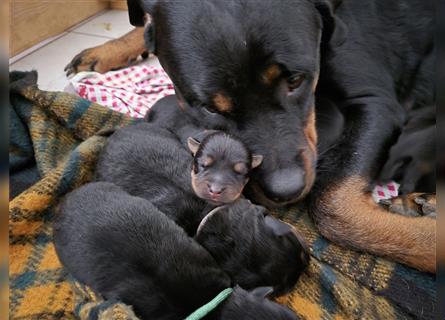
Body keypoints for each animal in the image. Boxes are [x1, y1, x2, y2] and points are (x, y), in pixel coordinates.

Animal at [65, 1, 434, 274]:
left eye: (296, 80)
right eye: (208, 107)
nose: (285, 189)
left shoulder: (375, 101)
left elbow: (333, 207)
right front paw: (112, 47)